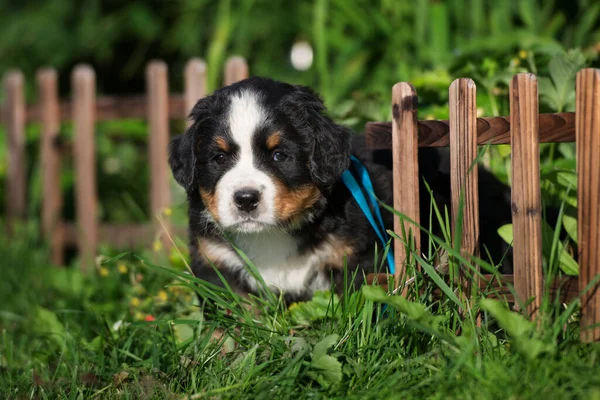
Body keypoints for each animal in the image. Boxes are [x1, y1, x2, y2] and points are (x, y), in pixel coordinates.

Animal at [170, 76, 516, 304]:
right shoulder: (214, 262)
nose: (245, 199)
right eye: (219, 158)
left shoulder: (359, 259)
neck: (272, 235)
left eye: (279, 155)